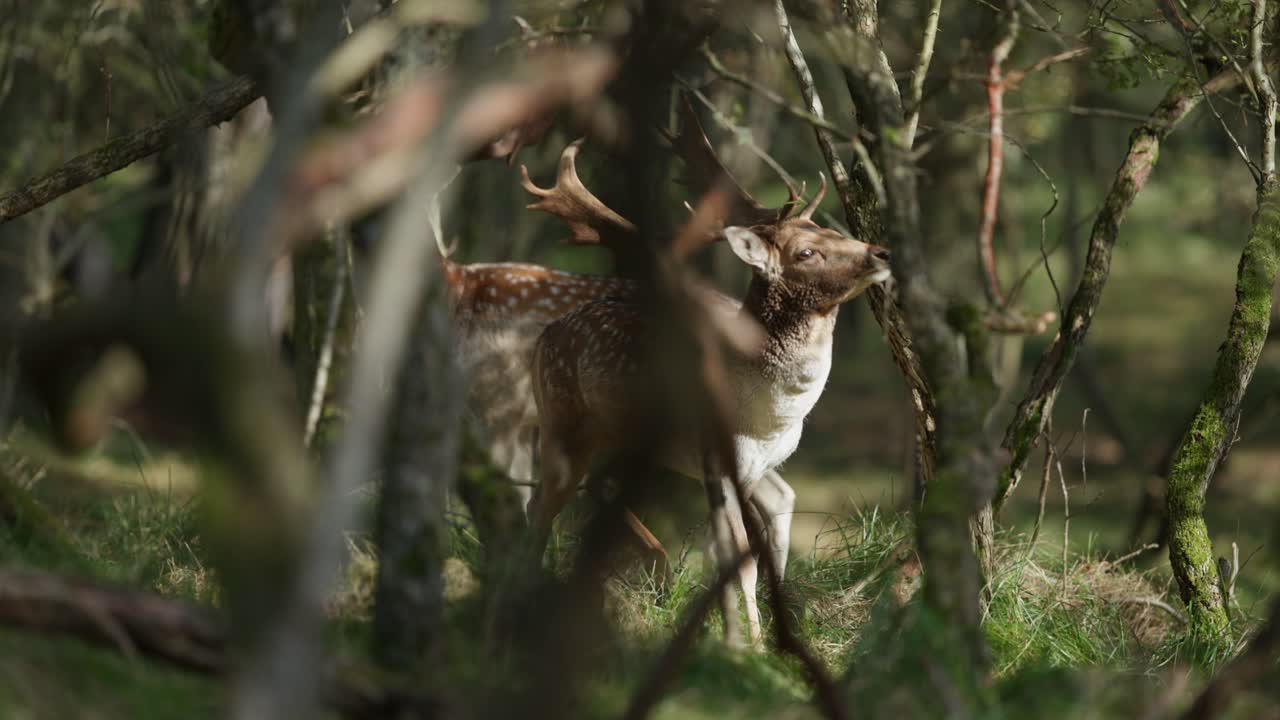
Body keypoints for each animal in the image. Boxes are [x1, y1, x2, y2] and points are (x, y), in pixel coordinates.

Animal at [526, 108, 892, 646]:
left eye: (833, 230)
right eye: (805, 252)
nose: (880, 253)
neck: (769, 416)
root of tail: (541, 338)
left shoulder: (756, 465)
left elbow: (765, 530)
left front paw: (770, 634)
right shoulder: (715, 458)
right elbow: (736, 558)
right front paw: (747, 645)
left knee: (594, 487)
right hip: (560, 420)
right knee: (542, 504)